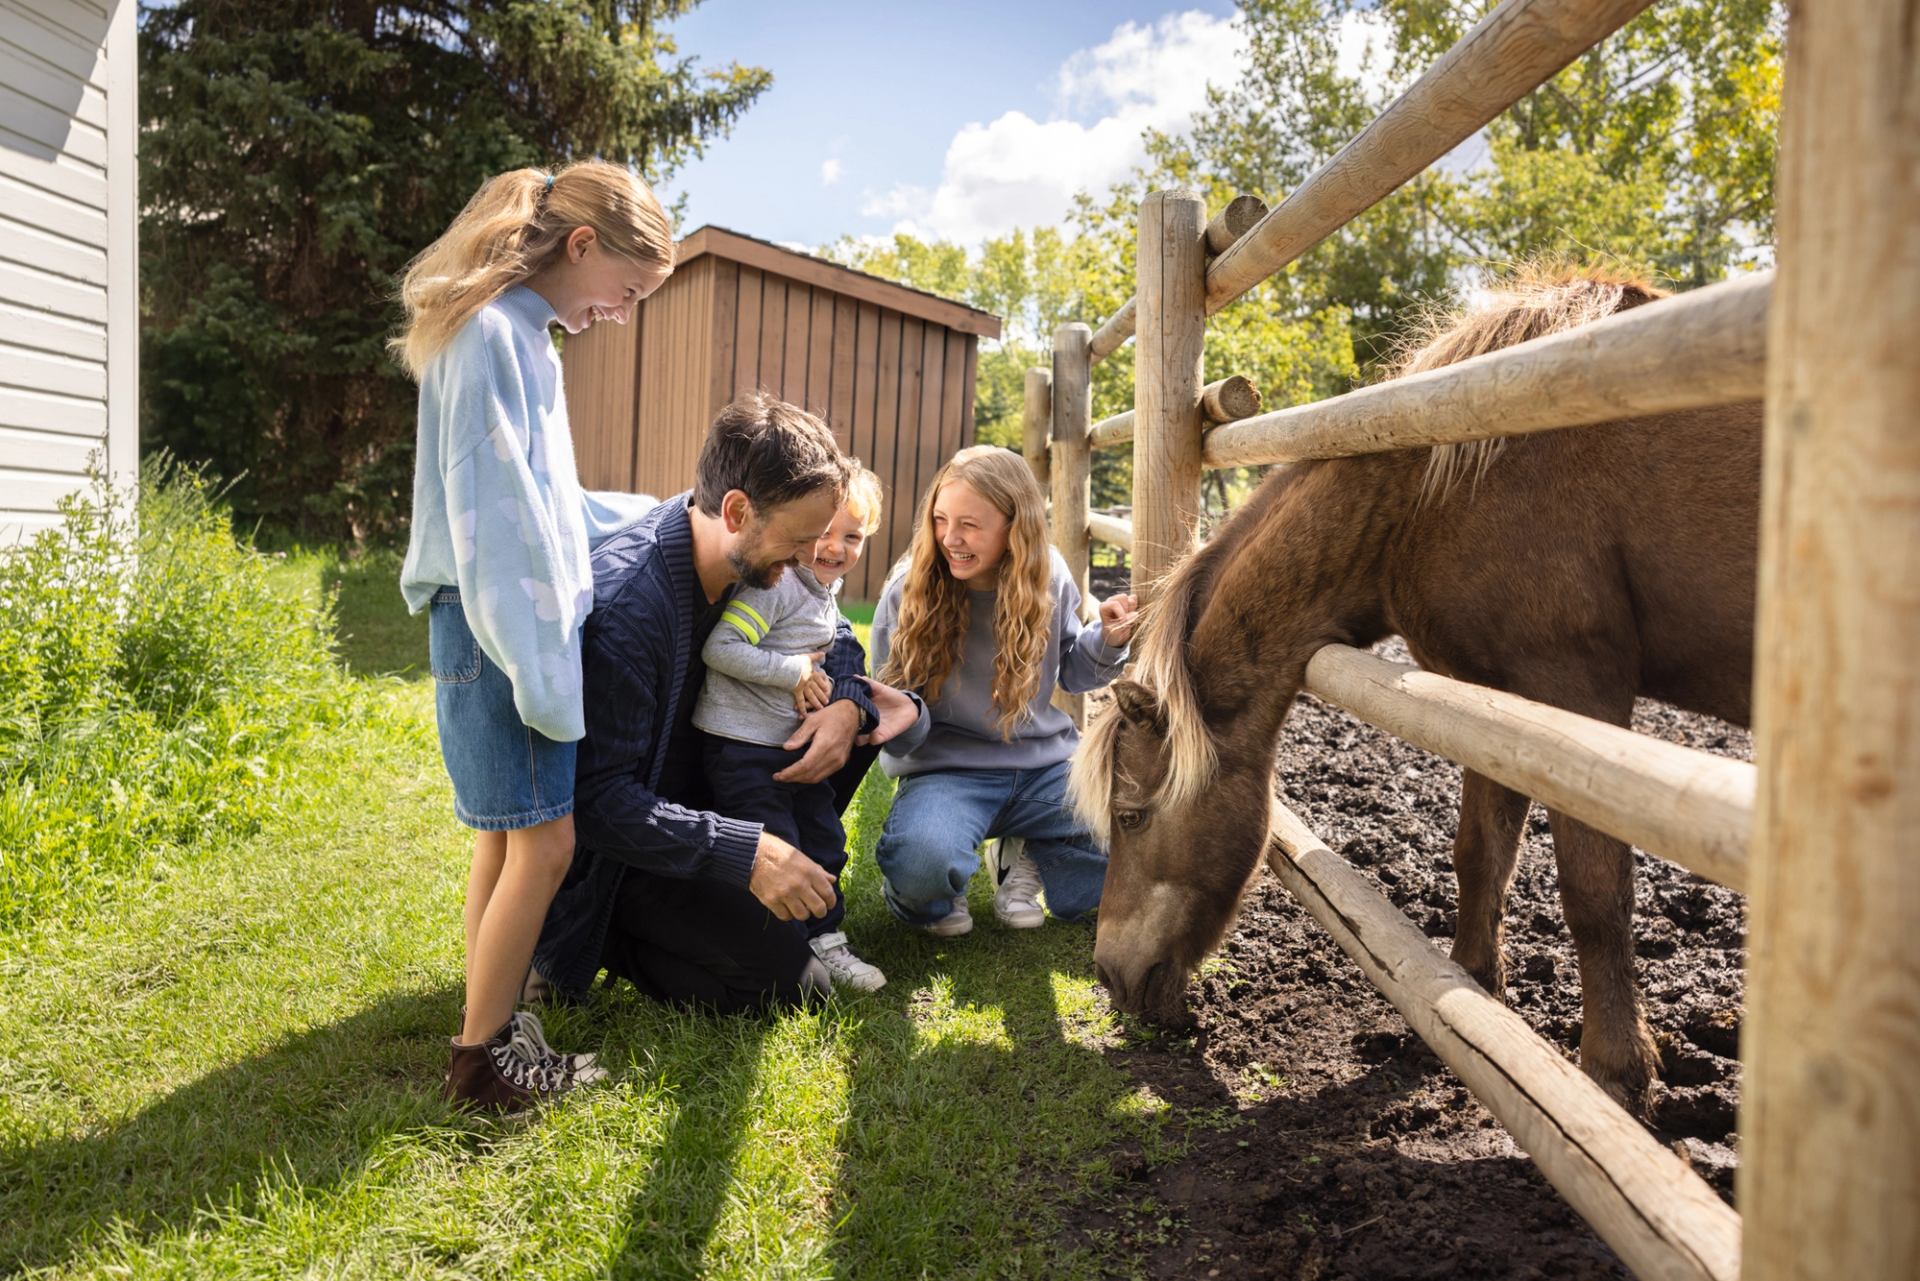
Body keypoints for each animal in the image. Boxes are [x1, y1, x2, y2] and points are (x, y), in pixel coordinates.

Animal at [1069, 267, 1761, 1112]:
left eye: (1132, 815)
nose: (1111, 973)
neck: (1449, 477)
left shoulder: (1576, 690)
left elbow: (1594, 888)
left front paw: (1615, 1069)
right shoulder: (1490, 698)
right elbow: (1480, 854)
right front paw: (1472, 991)